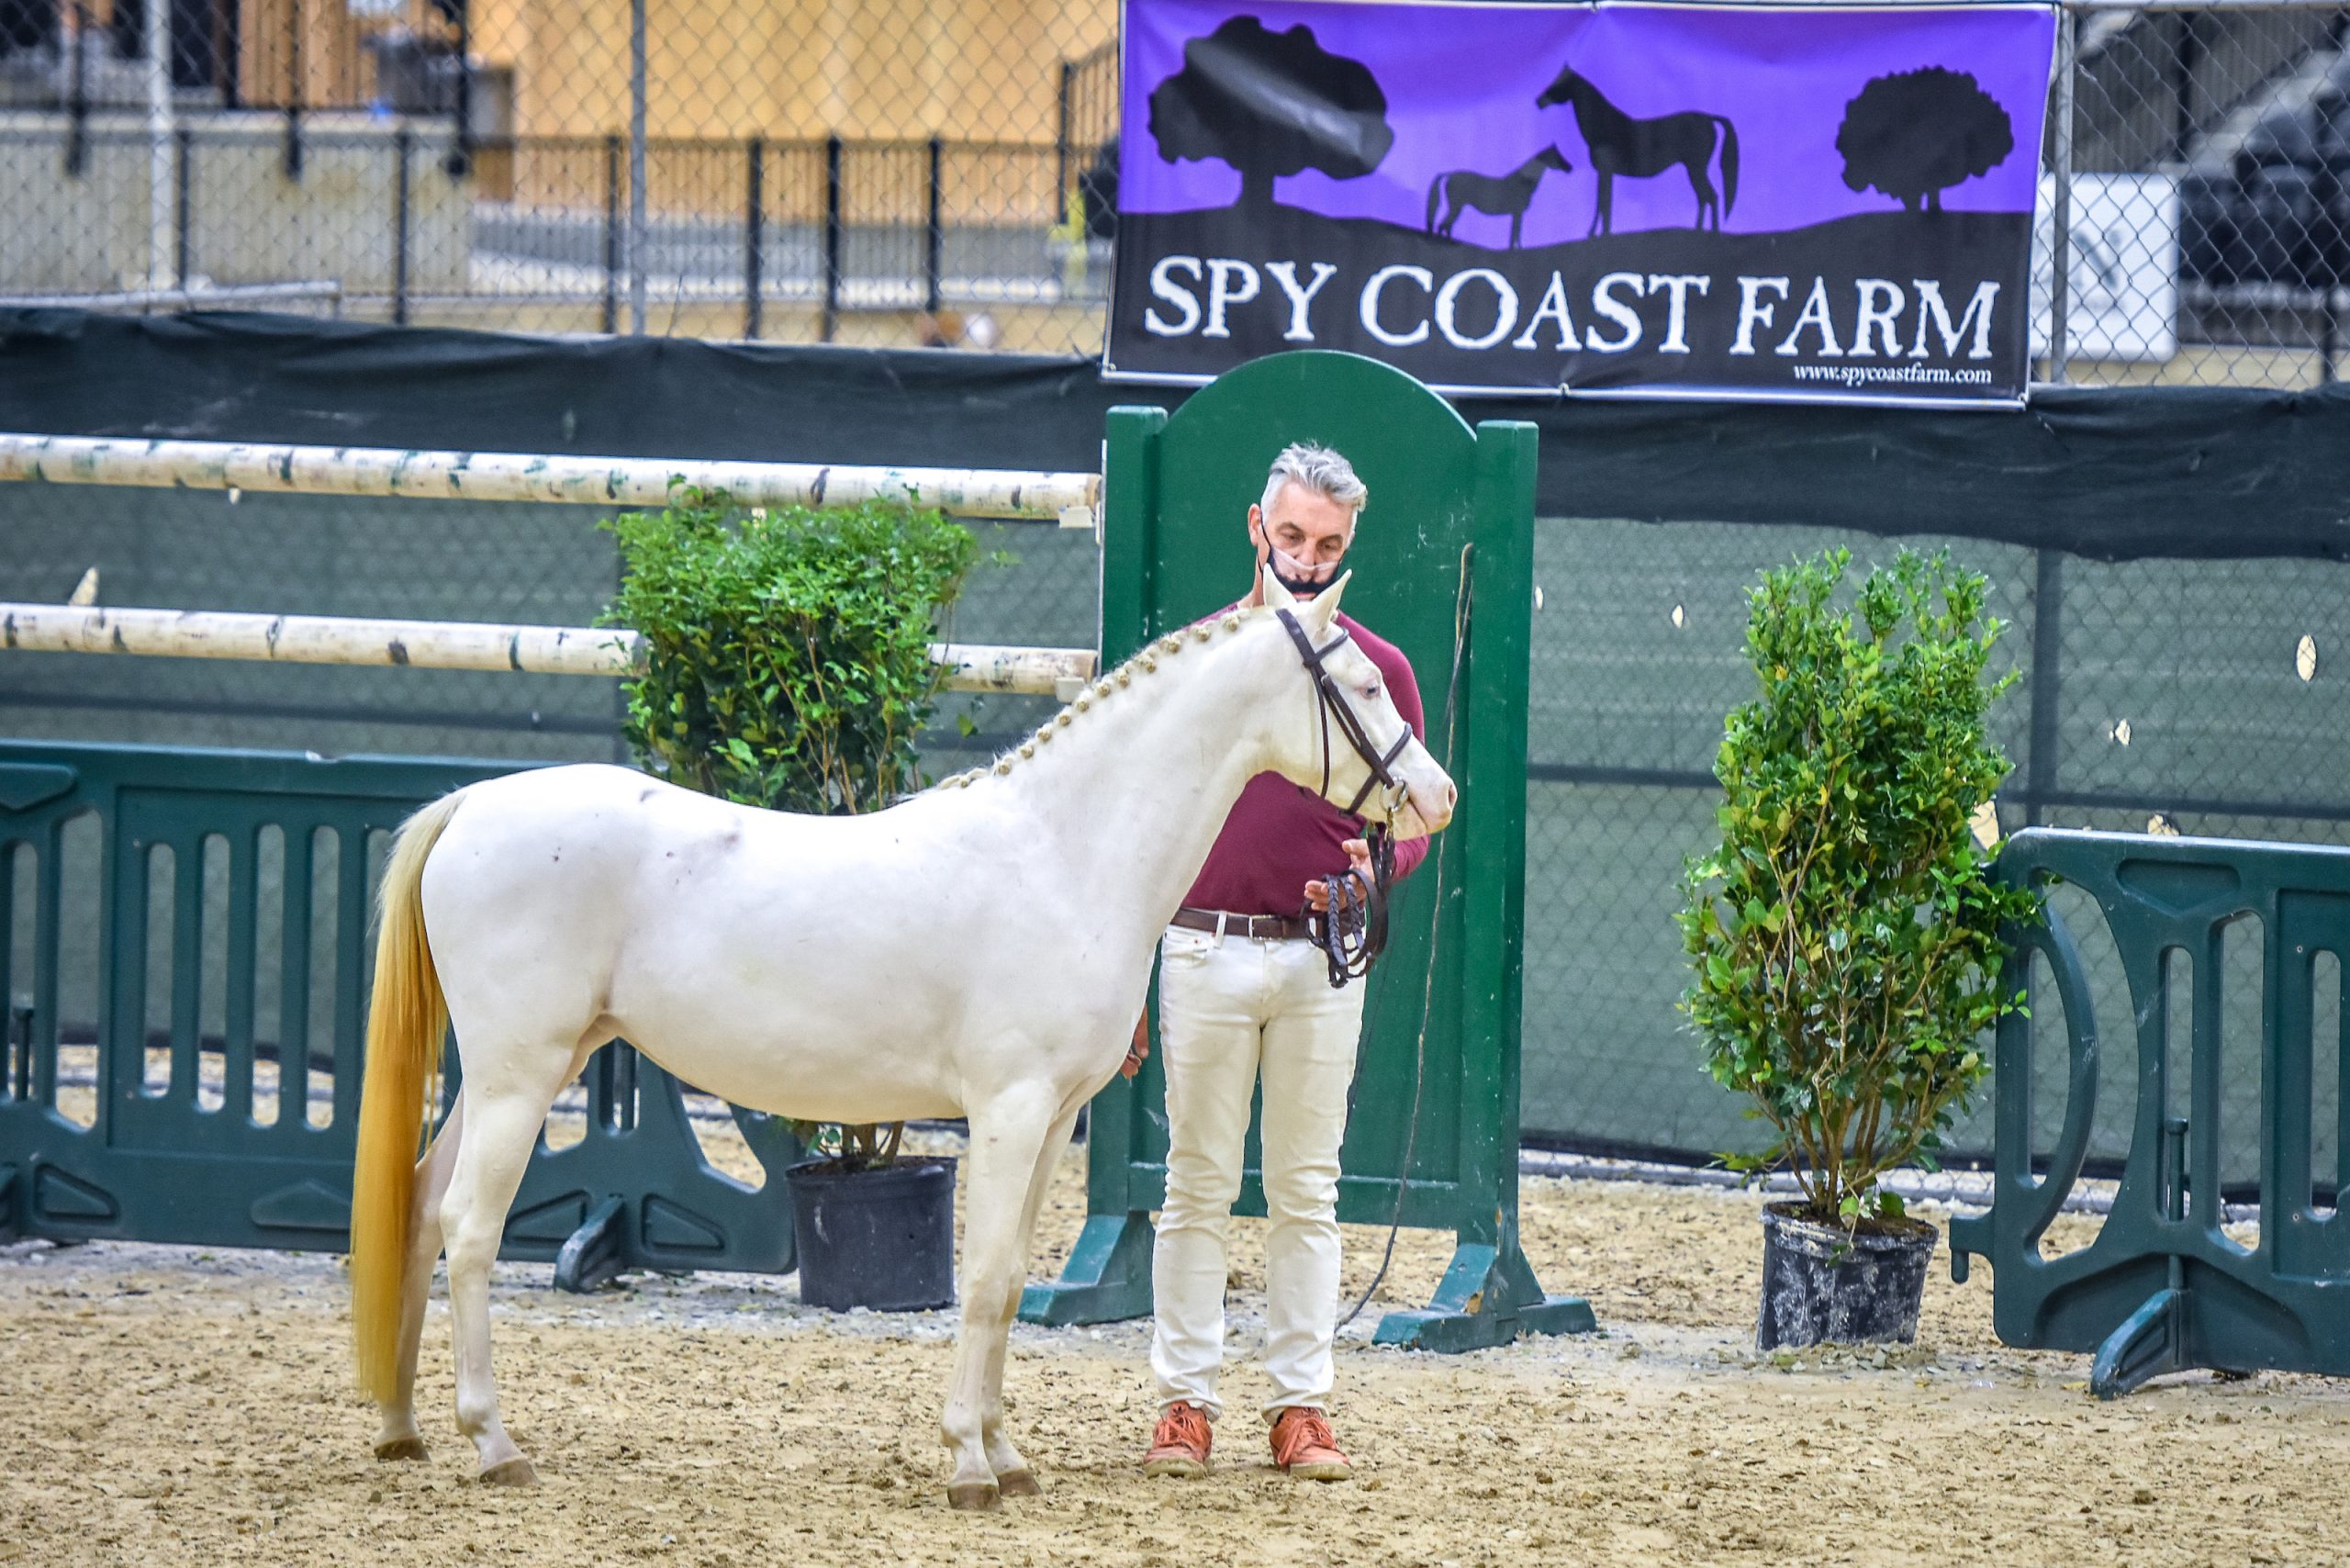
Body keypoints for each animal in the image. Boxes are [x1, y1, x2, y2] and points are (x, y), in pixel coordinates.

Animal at [347, 569, 1455, 1509]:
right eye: (1362, 683)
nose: (1439, 796)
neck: (1060, 852)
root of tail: (470, 806)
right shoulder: (1007, 1109)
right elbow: (984, 1281)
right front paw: (969, 1466)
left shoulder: (1048, 1122)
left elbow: (1007, 1285)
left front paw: (1008, 1457)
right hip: (521, 1076)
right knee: (470, 1228)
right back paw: (493, 1444)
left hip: (516, 1071)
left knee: (419, 1203)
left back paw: (402, 1428)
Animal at [1425, 146, 1575, 249]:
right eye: (1556, 156)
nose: (1569, 167)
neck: (1523, 182)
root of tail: (1450, 175)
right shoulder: (1518, 212)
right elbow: (1516, 234)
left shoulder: (1516, 213)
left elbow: (1514, 234)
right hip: (1456, 206)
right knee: (1443, 225)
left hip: (1457, 207)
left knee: (1447, 226)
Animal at [1534, 68, 1739, 236]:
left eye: (1560, 83)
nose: (1538, 101)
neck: (1605, 126)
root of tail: (1707, 118)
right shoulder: (1603, 172)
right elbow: (1601, 201)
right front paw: (1593, 233)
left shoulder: (1606, 170)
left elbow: (1605, 202)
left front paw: (1603, 234)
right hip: (1693, 168)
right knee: (1703, 197)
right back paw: (1698, 230)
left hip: (1696, 167)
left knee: (1710, 196)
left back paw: (1713, 234)